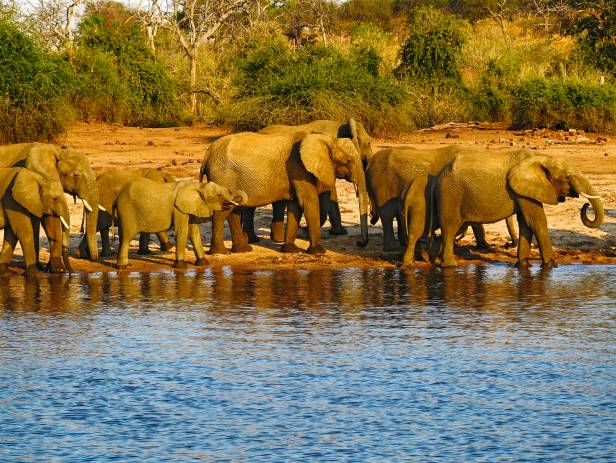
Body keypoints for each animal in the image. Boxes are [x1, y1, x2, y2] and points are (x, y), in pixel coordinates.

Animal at [115, 179, 248, 270]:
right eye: (219, 195)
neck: (198, 185)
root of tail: (118, 196)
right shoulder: (178, 209)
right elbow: (182, 231)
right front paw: (180, 266)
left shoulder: (190, 207)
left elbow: (194, 232)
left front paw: (203, 263)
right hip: (127, 210)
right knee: (127, 236)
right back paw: (124, 267)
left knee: (123, 236)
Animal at [200, 130, 368, 256]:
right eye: (348, 160)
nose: (359, 243)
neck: (327, 139)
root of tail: (207, 154)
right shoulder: (298, 167)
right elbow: (308, 201)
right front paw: (318, 252)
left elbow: (295, 206)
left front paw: (290, 250)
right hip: (223, 177)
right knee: (223, 211)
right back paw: (221, 252)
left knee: (233, 210)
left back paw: (243, 250)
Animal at [238, 118, 372, 243]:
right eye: (369, 143)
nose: (359, 242)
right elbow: (328, 192)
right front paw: (308, 231)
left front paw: (337, 232)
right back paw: (254, 240)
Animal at [436, 150, 604, 268]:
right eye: (568, 177)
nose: (586, 205)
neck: (543, 157)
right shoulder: (522, 191)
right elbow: (536, 221)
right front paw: (551, 265)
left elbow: (526, 223)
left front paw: (523, 265)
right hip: (451, 193)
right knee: (449, 227)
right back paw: (448, 265)